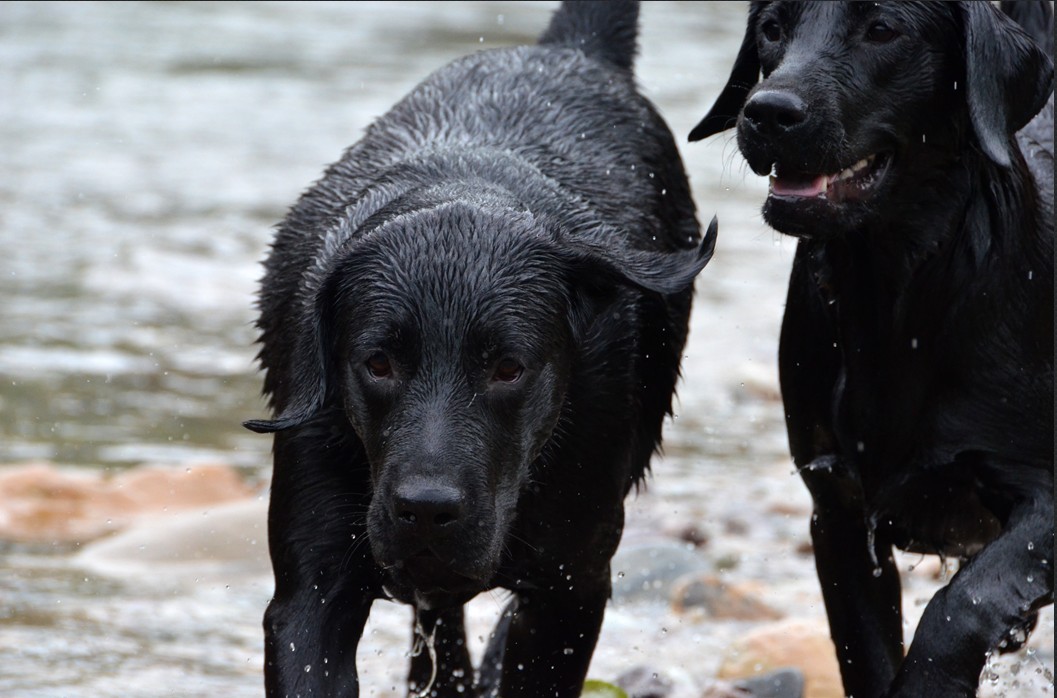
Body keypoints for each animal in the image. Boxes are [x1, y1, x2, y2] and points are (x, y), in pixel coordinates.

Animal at [243, 2, 714, 693]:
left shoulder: (571, 586)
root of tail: (568, 49)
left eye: (508, 368)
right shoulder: (312, 588)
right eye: (377, 363)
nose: (426, 509)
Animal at [693, 1, 1048, 697]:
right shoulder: (837, 511)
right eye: (772, 29)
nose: (768, 111)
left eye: (883, 30)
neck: (898, 297)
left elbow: (962, 604)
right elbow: (866, 650)